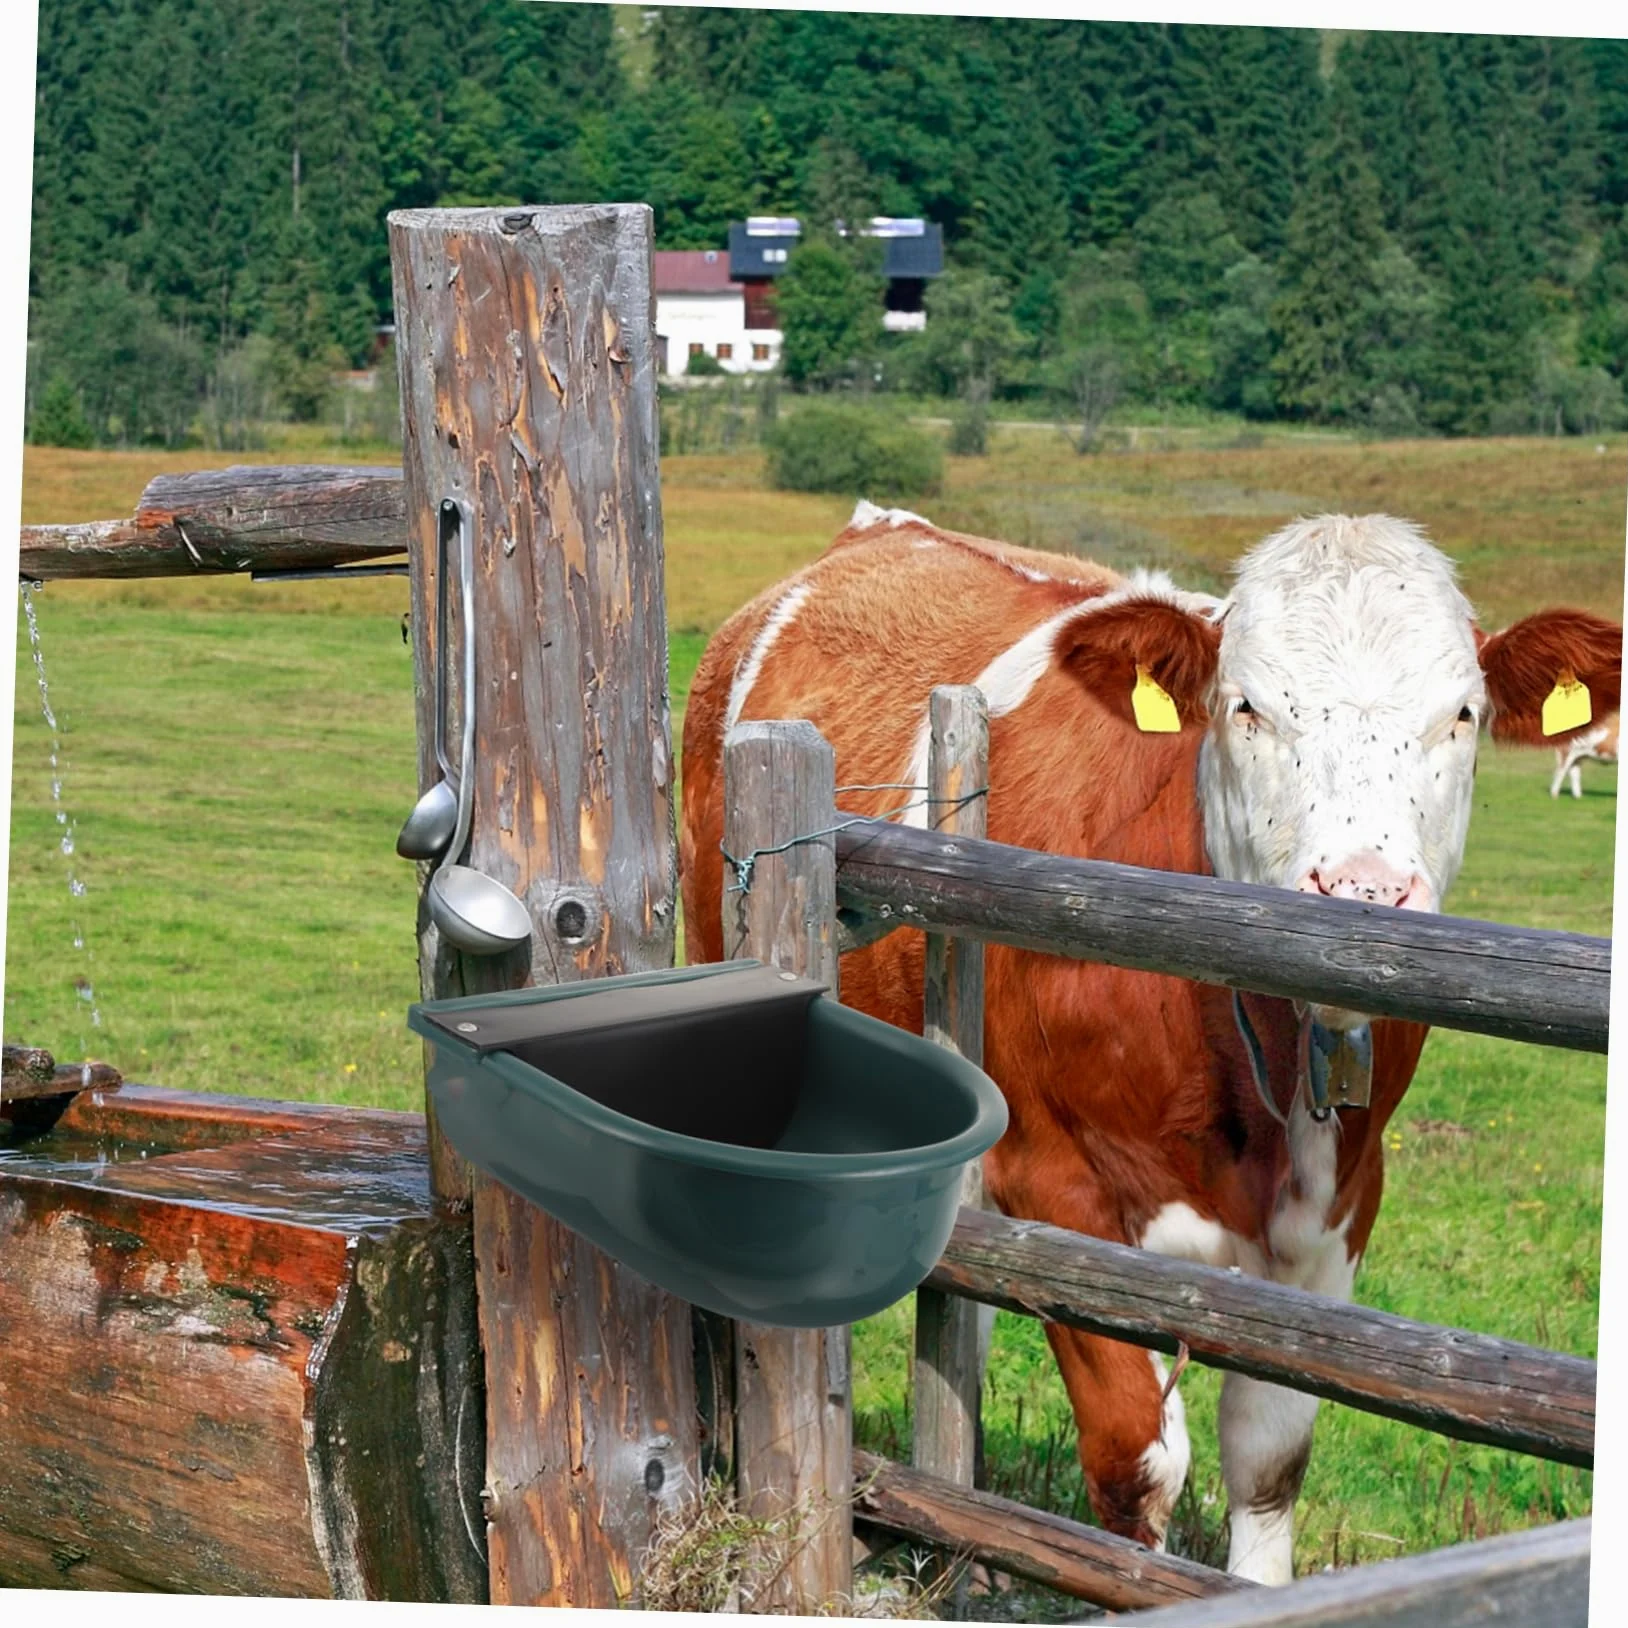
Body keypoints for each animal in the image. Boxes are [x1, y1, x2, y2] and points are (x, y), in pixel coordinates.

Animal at [678, 503, 1621, 1585]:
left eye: (1460, 713)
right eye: (1245, 705)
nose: (1361, 890)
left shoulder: (1340, 1207)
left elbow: (1268, 1455)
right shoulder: (1053, 1180)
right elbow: (1137, 1458)